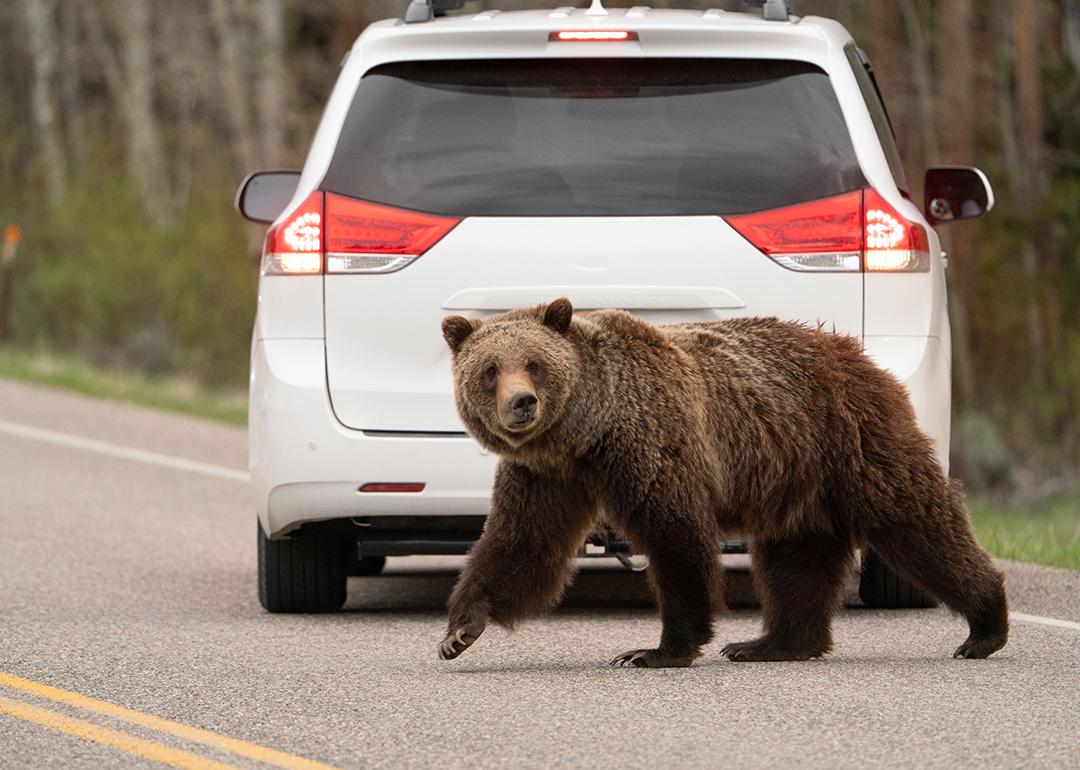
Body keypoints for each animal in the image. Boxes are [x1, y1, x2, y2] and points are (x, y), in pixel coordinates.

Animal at [437, 298, 1008, 667]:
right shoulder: (548, 475)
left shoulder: (652, 442)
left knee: (916, 520)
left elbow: (676, 538)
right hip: (797, 479)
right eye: (490, 368)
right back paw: (770, 644)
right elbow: (522, 542)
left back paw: (985, 627)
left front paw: (655, 650)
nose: (522, 402)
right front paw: (460, 630)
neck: (587, 432)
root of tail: (859, 356)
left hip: (852, 441)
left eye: (534, 362)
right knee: (795, 560)